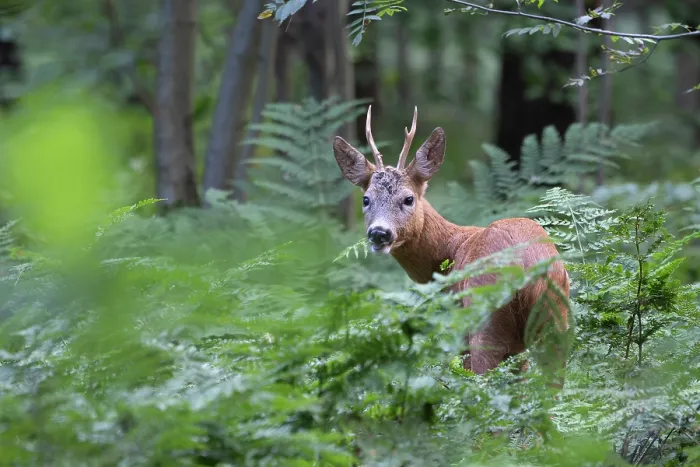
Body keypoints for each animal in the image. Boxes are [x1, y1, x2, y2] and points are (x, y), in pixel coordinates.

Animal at [332, 106, 570, 380]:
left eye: (409, 198)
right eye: (366, 199)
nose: (379, 233)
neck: (450, 250)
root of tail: (527, 268)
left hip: (485, 318)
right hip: (555, 319)